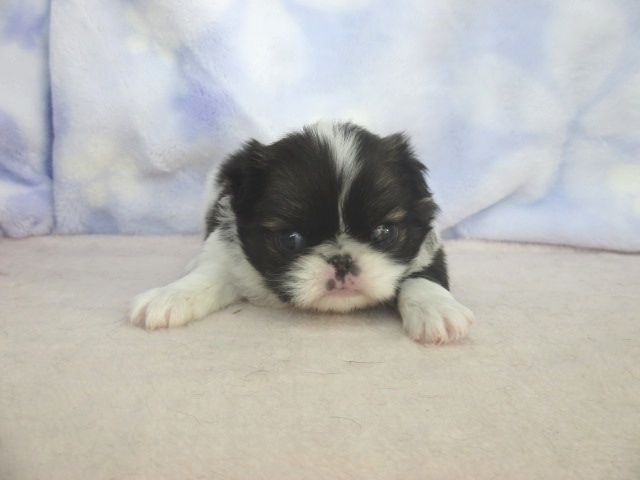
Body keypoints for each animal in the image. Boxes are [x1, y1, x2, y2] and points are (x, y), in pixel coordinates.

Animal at [130, 122, 474, 344]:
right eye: (290, 239)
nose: (342, 261)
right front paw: (168, 297)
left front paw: (438, 310)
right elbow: (205, 278)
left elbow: (422, 277)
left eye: (383, 232)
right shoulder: (228, 252)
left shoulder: (428, 245)